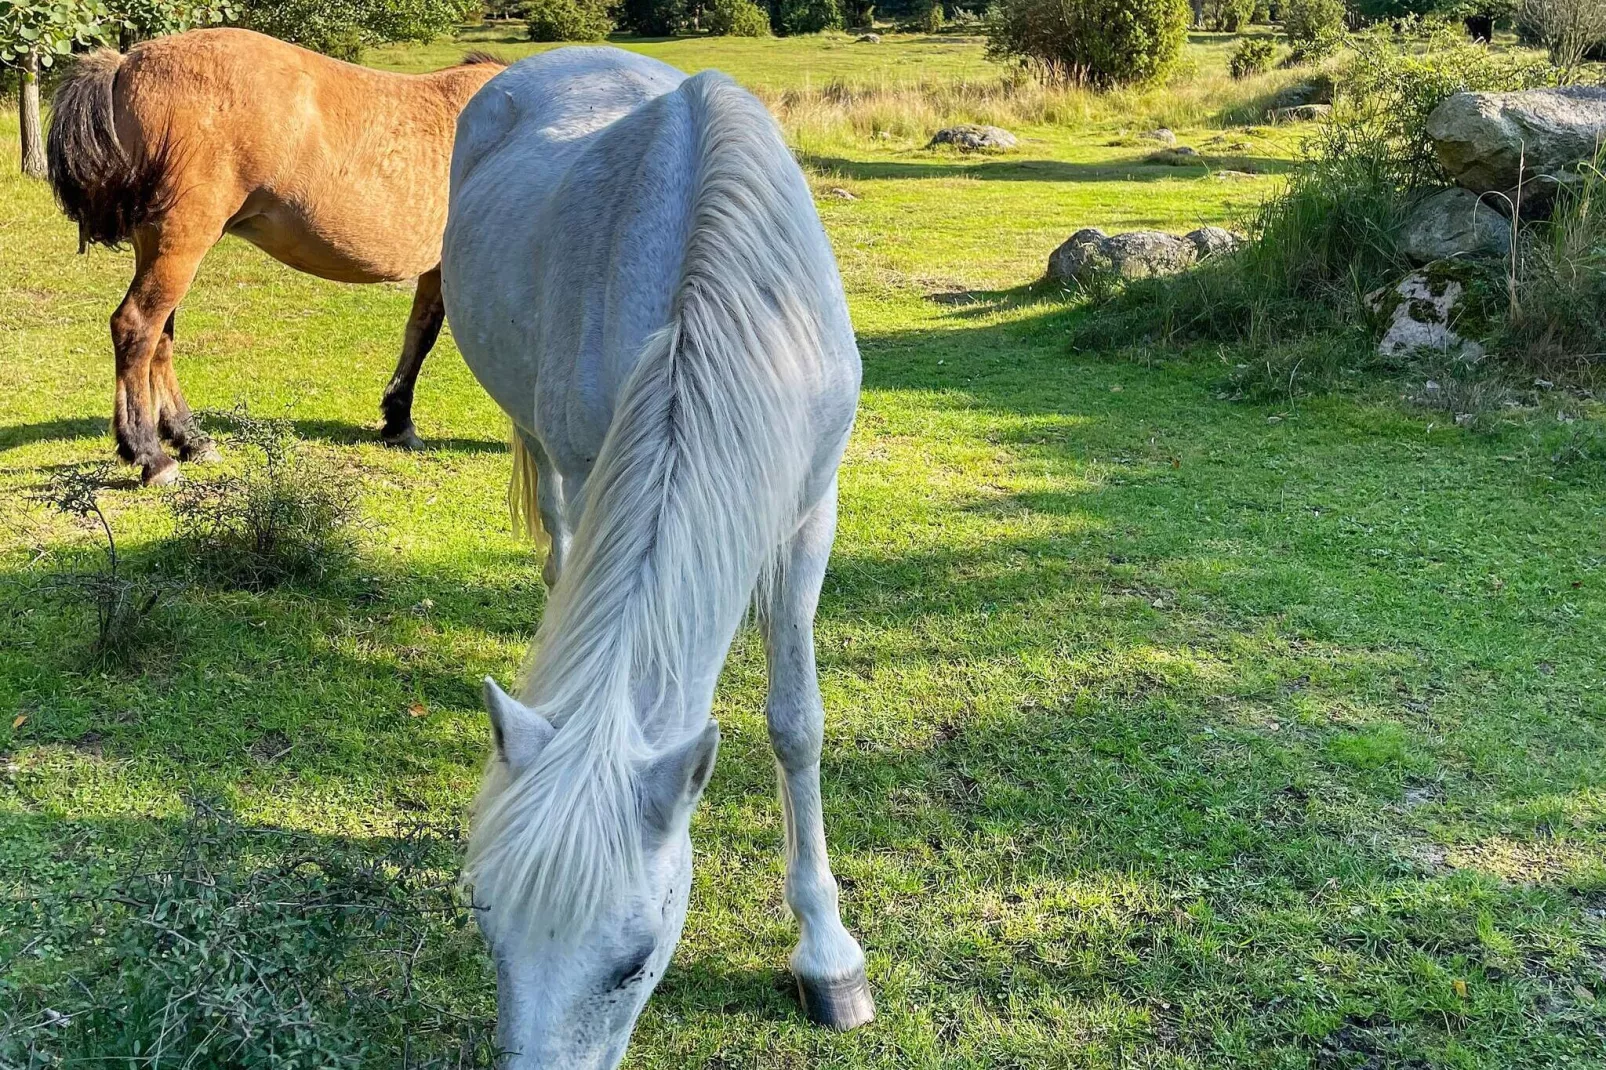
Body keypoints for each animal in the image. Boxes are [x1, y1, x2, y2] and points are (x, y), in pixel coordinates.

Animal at [48, 26, 501, 481]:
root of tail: (128, 62)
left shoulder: (438, 271)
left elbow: (419, 334)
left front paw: (397, 419)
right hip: (180, 243)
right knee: (136, 327)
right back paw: (149, 453)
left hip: (158, 246)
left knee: (160, 338)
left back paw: (191, 439)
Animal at [440, 45, 873, 1060]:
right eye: (484, 923)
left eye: (634, 964)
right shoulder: (591, 464)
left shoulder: (812, 514)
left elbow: (797, 722)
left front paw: (828, 954)